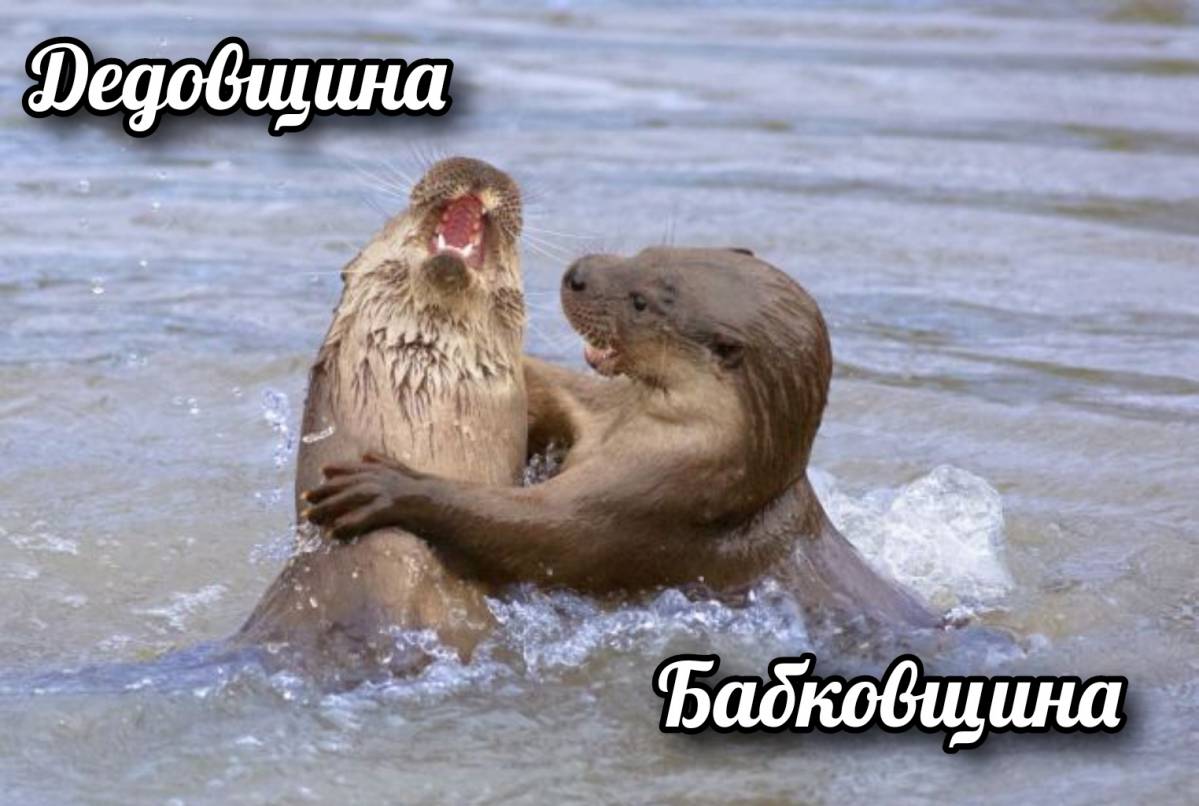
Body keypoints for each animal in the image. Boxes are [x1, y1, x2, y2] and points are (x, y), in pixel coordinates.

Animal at [302, 247, 938, 631]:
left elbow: (533, 530)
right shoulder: (600, 415)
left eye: (641, 303)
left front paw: (388, 485)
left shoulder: (650, 504)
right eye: (649, 253)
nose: (577, 273)